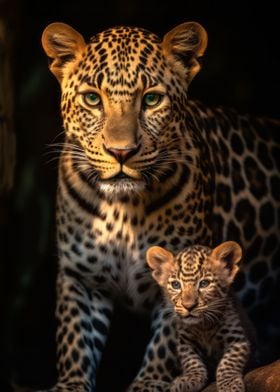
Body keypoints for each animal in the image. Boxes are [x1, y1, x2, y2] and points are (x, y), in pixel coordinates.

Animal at [148, 240, 253, 390]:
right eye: (176, 285)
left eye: (204, 283)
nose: (188, 306)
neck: (203, 326)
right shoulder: (184, 342)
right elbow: (191, 361)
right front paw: (189, 380)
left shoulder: (237, 339)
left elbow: (228, 362)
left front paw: (230, 385)